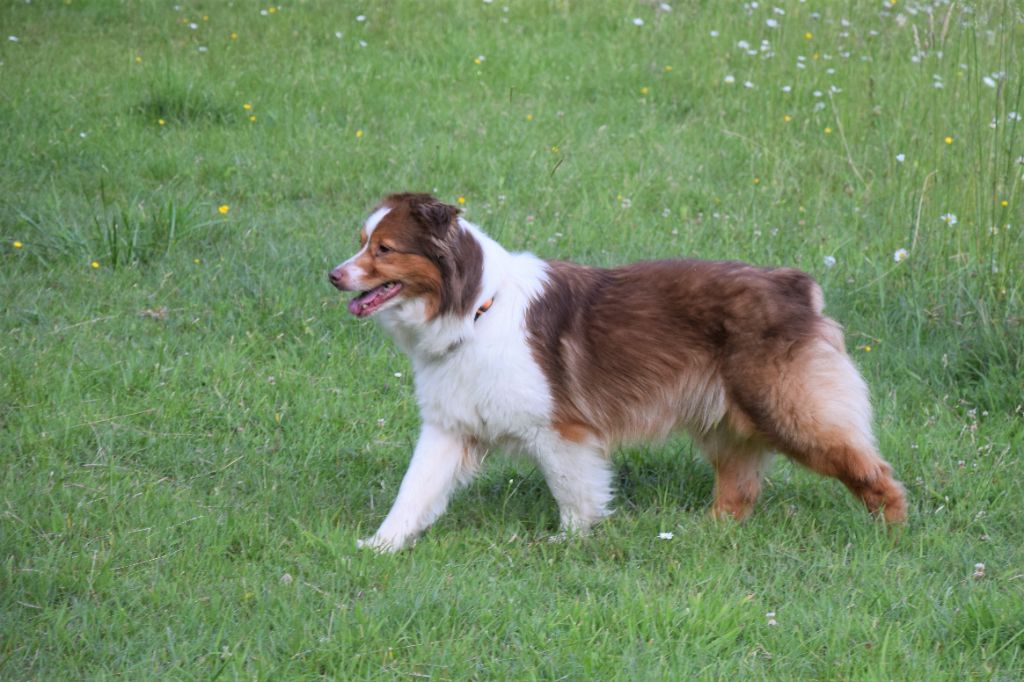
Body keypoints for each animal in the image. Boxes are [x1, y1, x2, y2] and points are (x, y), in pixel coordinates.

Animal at [327, 189, 905, 548]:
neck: (475, 308)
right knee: (739, 490)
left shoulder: (559, 430)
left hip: (789, 409)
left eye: (384, 249)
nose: (333, 275)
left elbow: (573, 493)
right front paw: (381, 545)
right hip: (729, 421)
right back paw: (705, 532)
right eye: (361, 242)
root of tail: (795, 284)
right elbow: (414, 490)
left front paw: (568, 542)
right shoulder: (449, 425)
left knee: (869, 469)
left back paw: (892, 530)